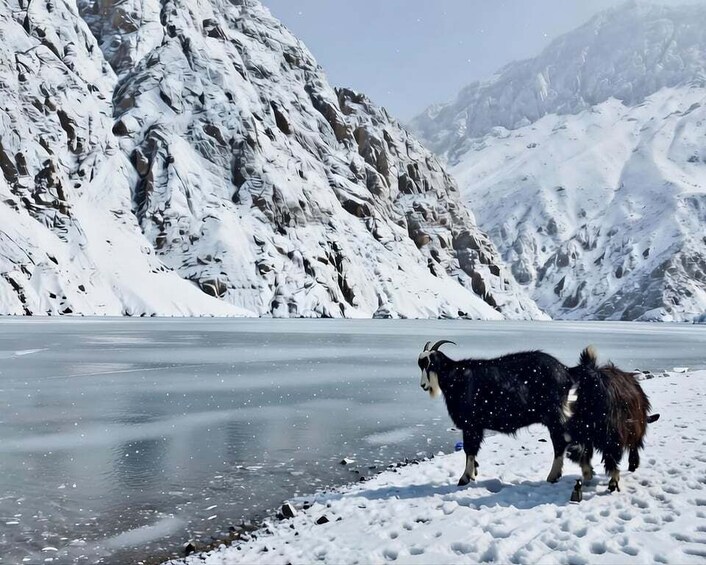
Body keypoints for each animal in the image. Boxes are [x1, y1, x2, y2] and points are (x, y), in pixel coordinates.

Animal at [418, 340, 575, 485]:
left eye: (431, 365)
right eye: (420, 365)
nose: (423, 385)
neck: (455, 377)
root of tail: (566, 371)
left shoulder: (471, 424)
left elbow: (469, 449)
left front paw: (464, 478)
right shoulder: (475, 427)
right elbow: (472, 450)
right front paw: (473, 473)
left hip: (552, 414)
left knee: (559, 440)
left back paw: (552, 476)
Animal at [566, 346, 660, 493]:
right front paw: (633, 465)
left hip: (581, 427)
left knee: (581, 452)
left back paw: (589, 474)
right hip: (612, 432)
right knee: (610, 458)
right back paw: (613, 482)